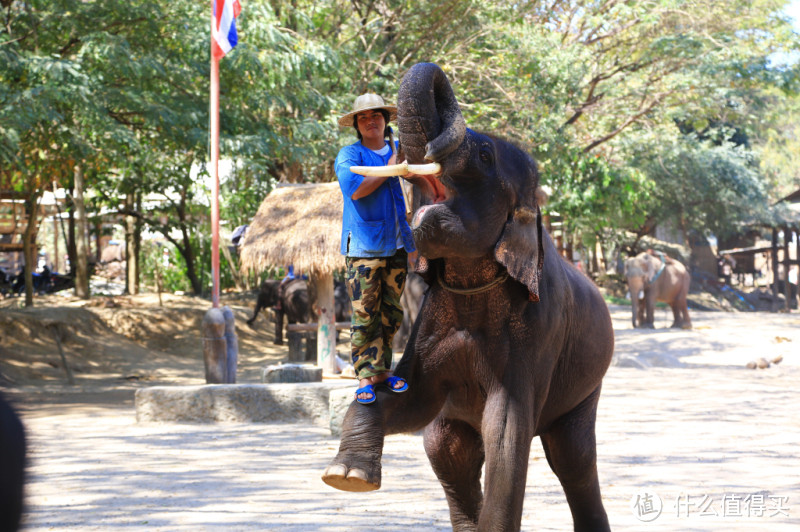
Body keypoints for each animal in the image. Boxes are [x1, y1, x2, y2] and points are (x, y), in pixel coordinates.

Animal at [320, 63, 612, 532]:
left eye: (485, 156)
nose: (400, 144)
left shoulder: (537, 336)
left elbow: (506, 433)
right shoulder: (429, 323)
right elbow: (414, 400)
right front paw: (347, 476)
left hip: (587, 385)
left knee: (572, 458)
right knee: (446, 452)